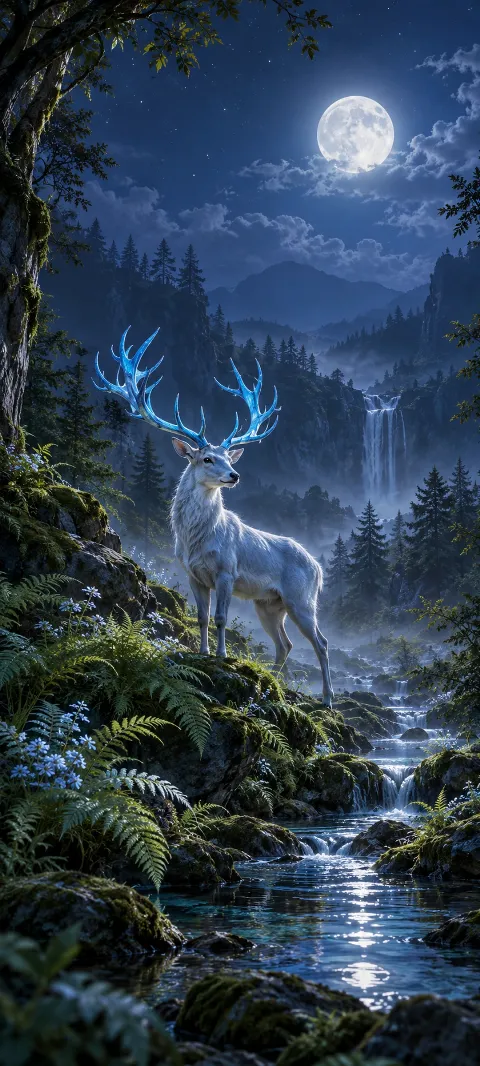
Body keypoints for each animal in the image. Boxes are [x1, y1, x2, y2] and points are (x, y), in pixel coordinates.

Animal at [95, 328, 334, 707]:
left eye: (227, 457)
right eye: (207, 458)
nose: (234, 475)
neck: (198, 539)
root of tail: (319, 569)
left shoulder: (227, 570)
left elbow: (222, 618)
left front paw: (221, 656)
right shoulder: (193, 574)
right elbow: (203, 617)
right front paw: (203, 652)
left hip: (301, 597)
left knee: (322, 643)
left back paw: (327, 698)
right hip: (269, 604)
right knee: (285, 644)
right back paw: (276, 681)